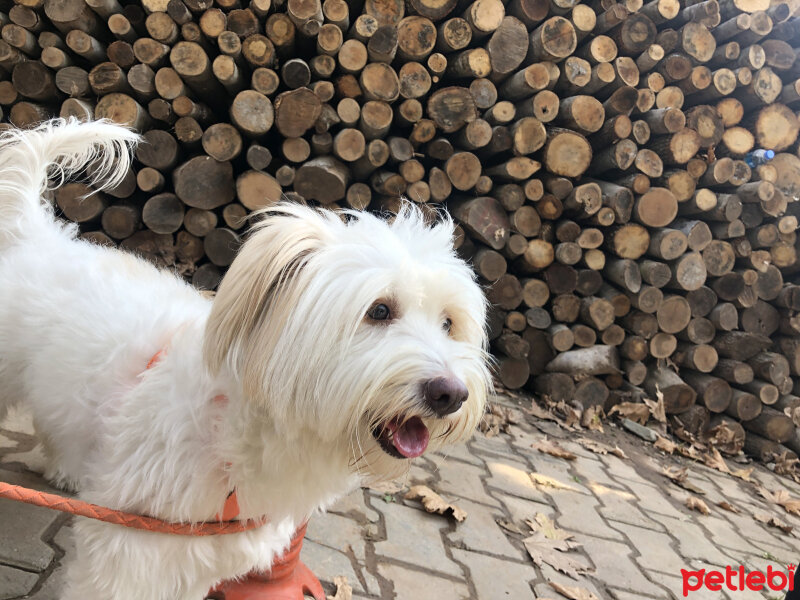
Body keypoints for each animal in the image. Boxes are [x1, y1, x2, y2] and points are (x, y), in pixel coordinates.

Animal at [0, 118, 490, 600]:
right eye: (380, 310)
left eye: (448, 323)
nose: (451, 394)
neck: (232, 428)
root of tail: (34, 231)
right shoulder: (128, 545)